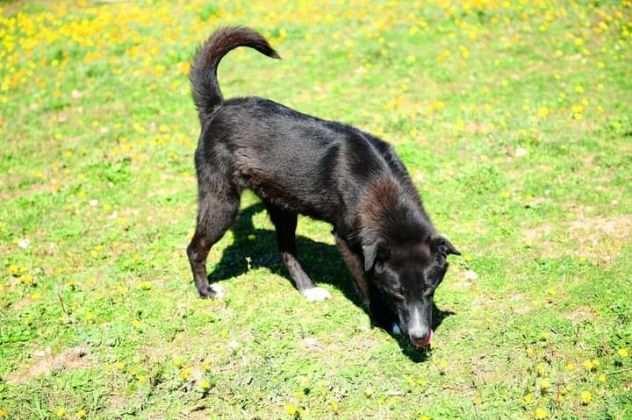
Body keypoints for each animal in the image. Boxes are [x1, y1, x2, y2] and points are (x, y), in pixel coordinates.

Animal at [188, 26, 460, 348]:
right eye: (397, 293)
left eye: (430, 289)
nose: (419, 337)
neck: (376, 184)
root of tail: (216, 108)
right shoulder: (347, 243)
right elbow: (367, 286)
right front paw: (385, 320)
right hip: (222, 203)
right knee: (195, 249)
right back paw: (206, 291)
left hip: (283, 207)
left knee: (287, 252)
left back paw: (309, 289)